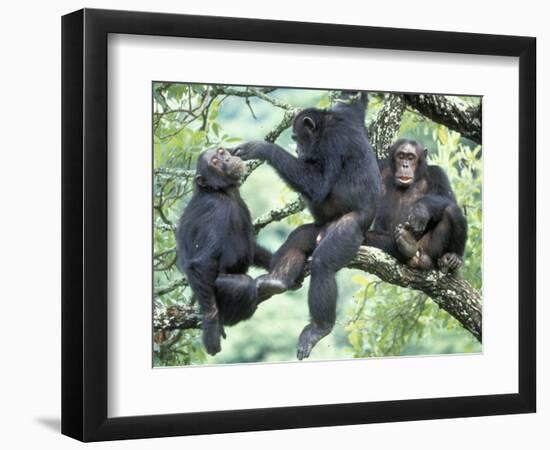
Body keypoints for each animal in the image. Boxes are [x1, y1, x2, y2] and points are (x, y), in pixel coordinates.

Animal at [177, 148, 280, 356]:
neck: (223, 192)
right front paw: (211, 328)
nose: (225, 159)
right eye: (215, 162)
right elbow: (202, 262)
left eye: (221, 151)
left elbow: (252, 246)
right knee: (244, 286)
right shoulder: (214, 210)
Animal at [235, 91, 382, 358]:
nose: (296, 147)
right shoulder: (348, 112)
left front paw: (261, 148)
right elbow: (353, 100)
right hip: (315, 229)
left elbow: (318, 185)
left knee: (323, 263)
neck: (325, 127)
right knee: (297, 240)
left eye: (295, 137)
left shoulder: (333, 145)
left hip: (348, 230)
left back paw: (319, 328)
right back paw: (277, 281)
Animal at [366, 139, 470, 270]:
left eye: (411, 157)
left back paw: (453, 256)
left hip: (431, 251)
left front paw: (420, 211)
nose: (405, 165)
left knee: (452, 210)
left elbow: (446, 196)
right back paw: (408, 244)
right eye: (401, 156)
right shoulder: (378, 167)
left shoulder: (437, 173)